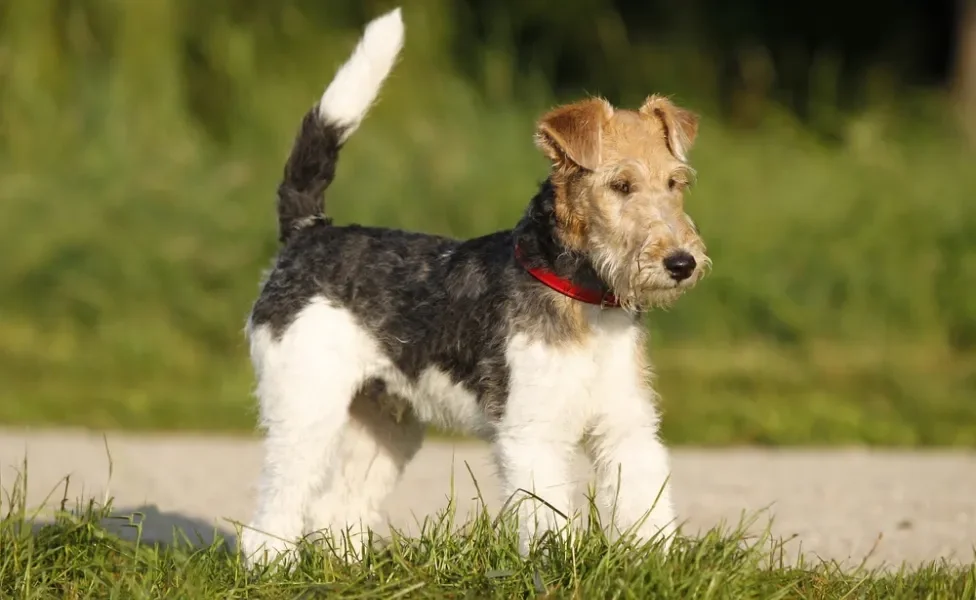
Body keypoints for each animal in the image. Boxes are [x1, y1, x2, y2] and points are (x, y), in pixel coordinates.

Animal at [238, 5, 708, 568]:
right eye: (620, 185)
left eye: (676, 182)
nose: (681, 263)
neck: (585, 299)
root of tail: (309, 232)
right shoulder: (532, 432)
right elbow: (548, 519)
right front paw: (556, 569)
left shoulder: (626, 425)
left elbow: (643, 507)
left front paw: (653, 566)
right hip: (306, 406)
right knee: (277, 505)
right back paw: (271, 563)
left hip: (383, 421)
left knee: (336, 510)